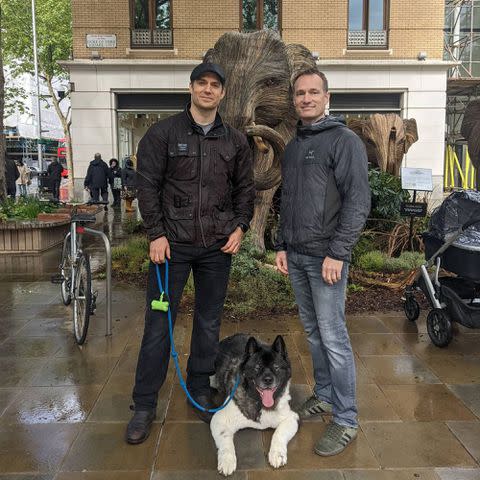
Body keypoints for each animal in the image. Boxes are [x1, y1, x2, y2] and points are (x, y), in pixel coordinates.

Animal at [211, 334, 298, 476]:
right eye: (257, 367)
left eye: (276, 367)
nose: (268, 380)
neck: (259, 401)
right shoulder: (219, 419)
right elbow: (225, 440)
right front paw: (227, 460)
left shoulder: (291, 417)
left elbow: (279, 433)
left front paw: (277, 454)